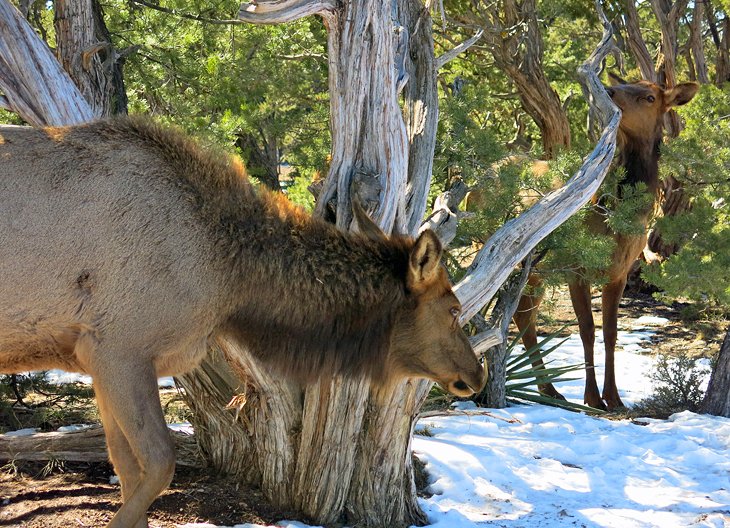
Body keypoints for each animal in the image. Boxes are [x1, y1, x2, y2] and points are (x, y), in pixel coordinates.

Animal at [0, 117, 484, 524]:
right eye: (453, 308)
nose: (475, 373)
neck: (228, 275)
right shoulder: (121, 348)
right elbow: (159, 465)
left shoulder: (94, 359)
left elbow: (128, 469)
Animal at [510, 74, 696, 410]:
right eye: (626, 83)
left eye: (650, 96)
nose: (608, 91)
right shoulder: (576, 269)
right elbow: (586, 330)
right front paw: (592, 397)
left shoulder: (619, 273)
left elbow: (611, 332)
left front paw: (615, 397)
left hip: (535, 273)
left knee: (523, 316)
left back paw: (548, 390)